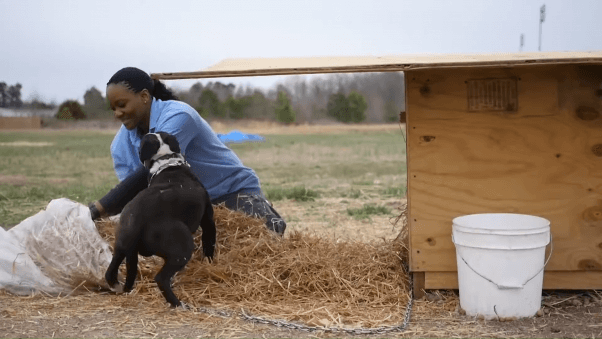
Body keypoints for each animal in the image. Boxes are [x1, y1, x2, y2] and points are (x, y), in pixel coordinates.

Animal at [105, 132, 216, 308]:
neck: (167, 160)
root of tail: (138, 219)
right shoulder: (208, 221)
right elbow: (209, 245)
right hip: (182, 249)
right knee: (161, 279)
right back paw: (178, 304)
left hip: (121, 246)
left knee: (110, 272)